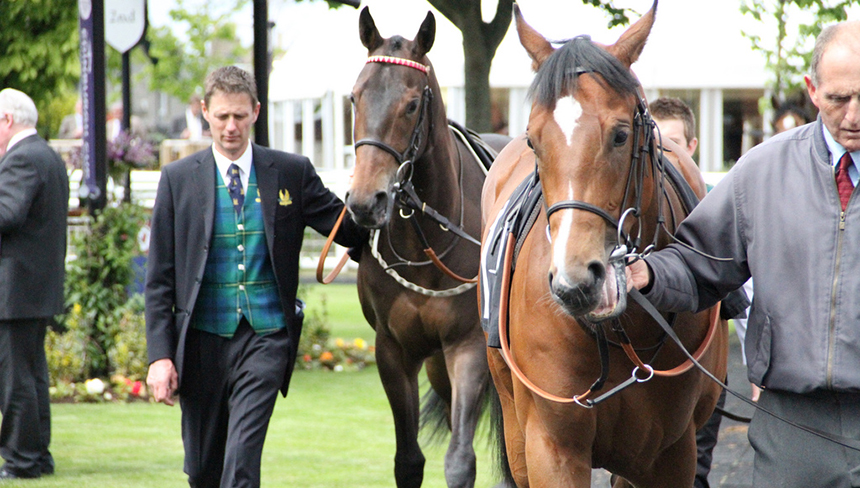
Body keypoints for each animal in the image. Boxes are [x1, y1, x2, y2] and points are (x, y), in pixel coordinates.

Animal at [342, 7, 510, 488]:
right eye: (355, 98)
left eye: (412, 104)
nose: (366, 201)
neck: (427, 246)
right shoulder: (394, 350)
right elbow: (408, 460)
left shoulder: (469, 347)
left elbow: (460, 460)